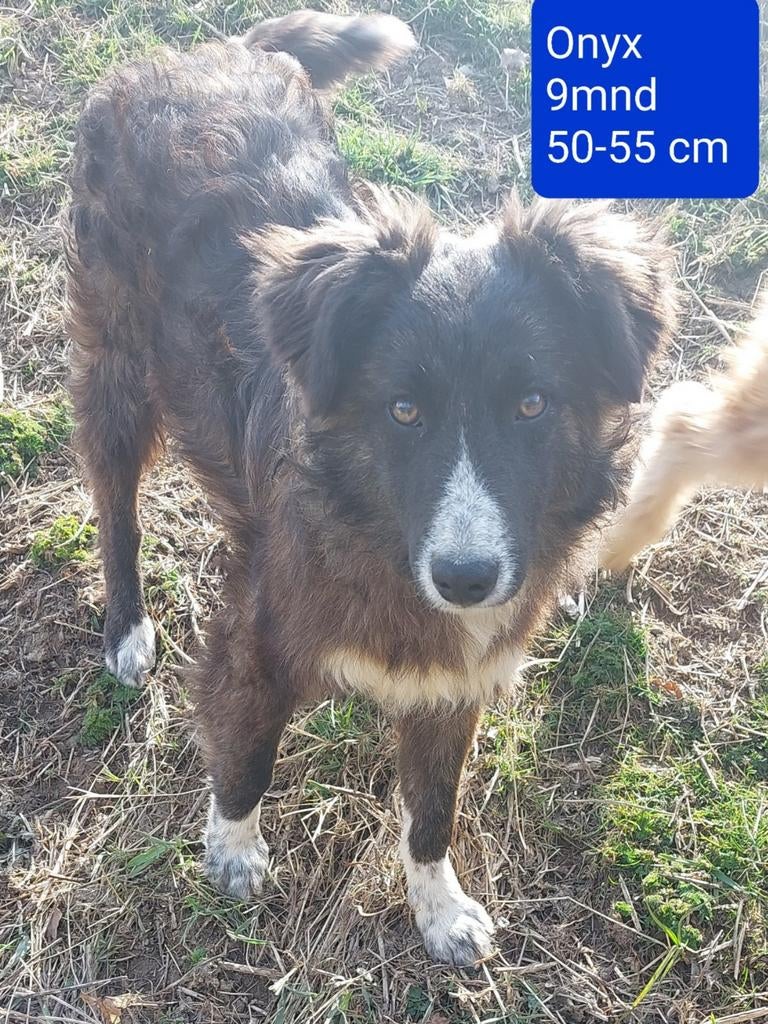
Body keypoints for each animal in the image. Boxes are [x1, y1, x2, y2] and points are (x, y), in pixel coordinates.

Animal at [64, 10, 676, 965]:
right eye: (404, 409)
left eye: (532, 404)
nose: (466, 580)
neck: (375, 529)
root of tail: (203, 53)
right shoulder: (261, 637)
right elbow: (247, 753)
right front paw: (232, 849)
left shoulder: (457, 679)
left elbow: (434, 809)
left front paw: (439, 909)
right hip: (117, 367)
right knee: (115, 509)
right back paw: (126, 628)